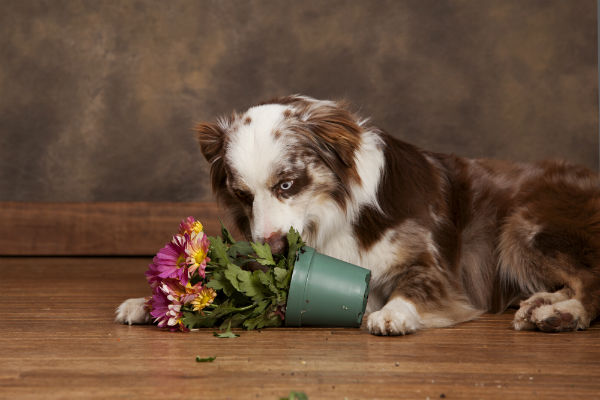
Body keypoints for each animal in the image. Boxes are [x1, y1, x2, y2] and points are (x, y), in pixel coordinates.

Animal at [115, 94, 596, 334]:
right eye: (242, 194)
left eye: (286, 184)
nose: (274, 247)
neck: (330, 221)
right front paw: (151, 302)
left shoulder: (436, 269)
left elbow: (414, 286)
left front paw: (394, 313)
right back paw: (542, 304)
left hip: (523, 226)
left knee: (592, 283)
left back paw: (562, 315)